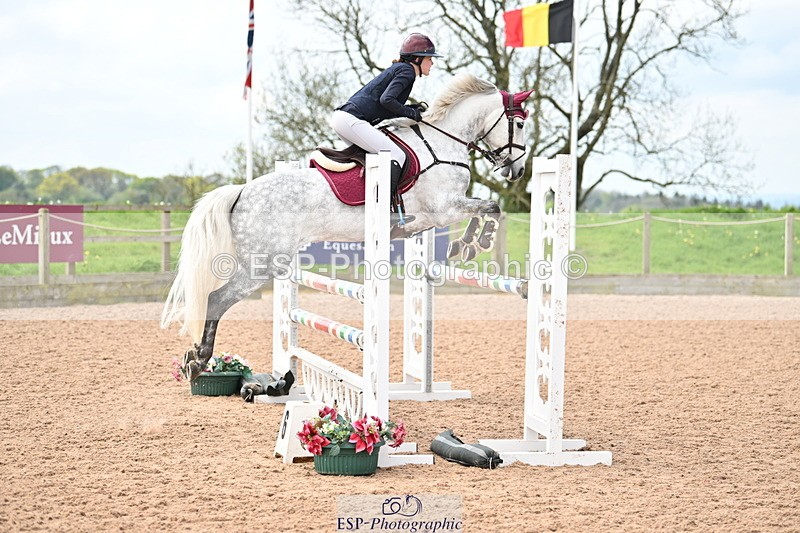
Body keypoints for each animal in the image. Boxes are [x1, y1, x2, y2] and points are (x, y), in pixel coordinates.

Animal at [161, 73, 532, 381]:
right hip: (261, 263)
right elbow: (490, 208)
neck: (441, 144)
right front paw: (471, 243)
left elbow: (485, 207)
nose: (516, 170)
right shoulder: (442, 209)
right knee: (216, 298)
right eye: (519, 124)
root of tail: (242, 190)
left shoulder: (434, 218)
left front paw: (466, 243)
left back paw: (196, 359)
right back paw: (198, 360)